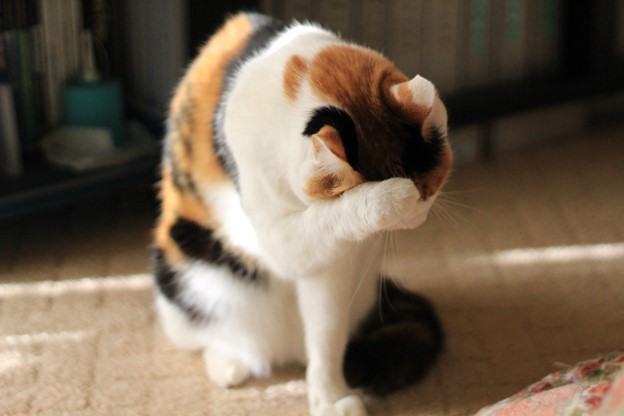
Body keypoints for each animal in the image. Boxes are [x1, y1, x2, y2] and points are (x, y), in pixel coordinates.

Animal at [154, 13, 450, 416]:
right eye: (415, 198)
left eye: (430, 190)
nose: (417, 216)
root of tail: (286, 352)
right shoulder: (277, 237)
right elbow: (325, 222)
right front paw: (387, 198)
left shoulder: (333, 268)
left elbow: (327, 334)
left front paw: (329, 397)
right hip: (188, 271)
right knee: (205, 335)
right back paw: (227, 363)